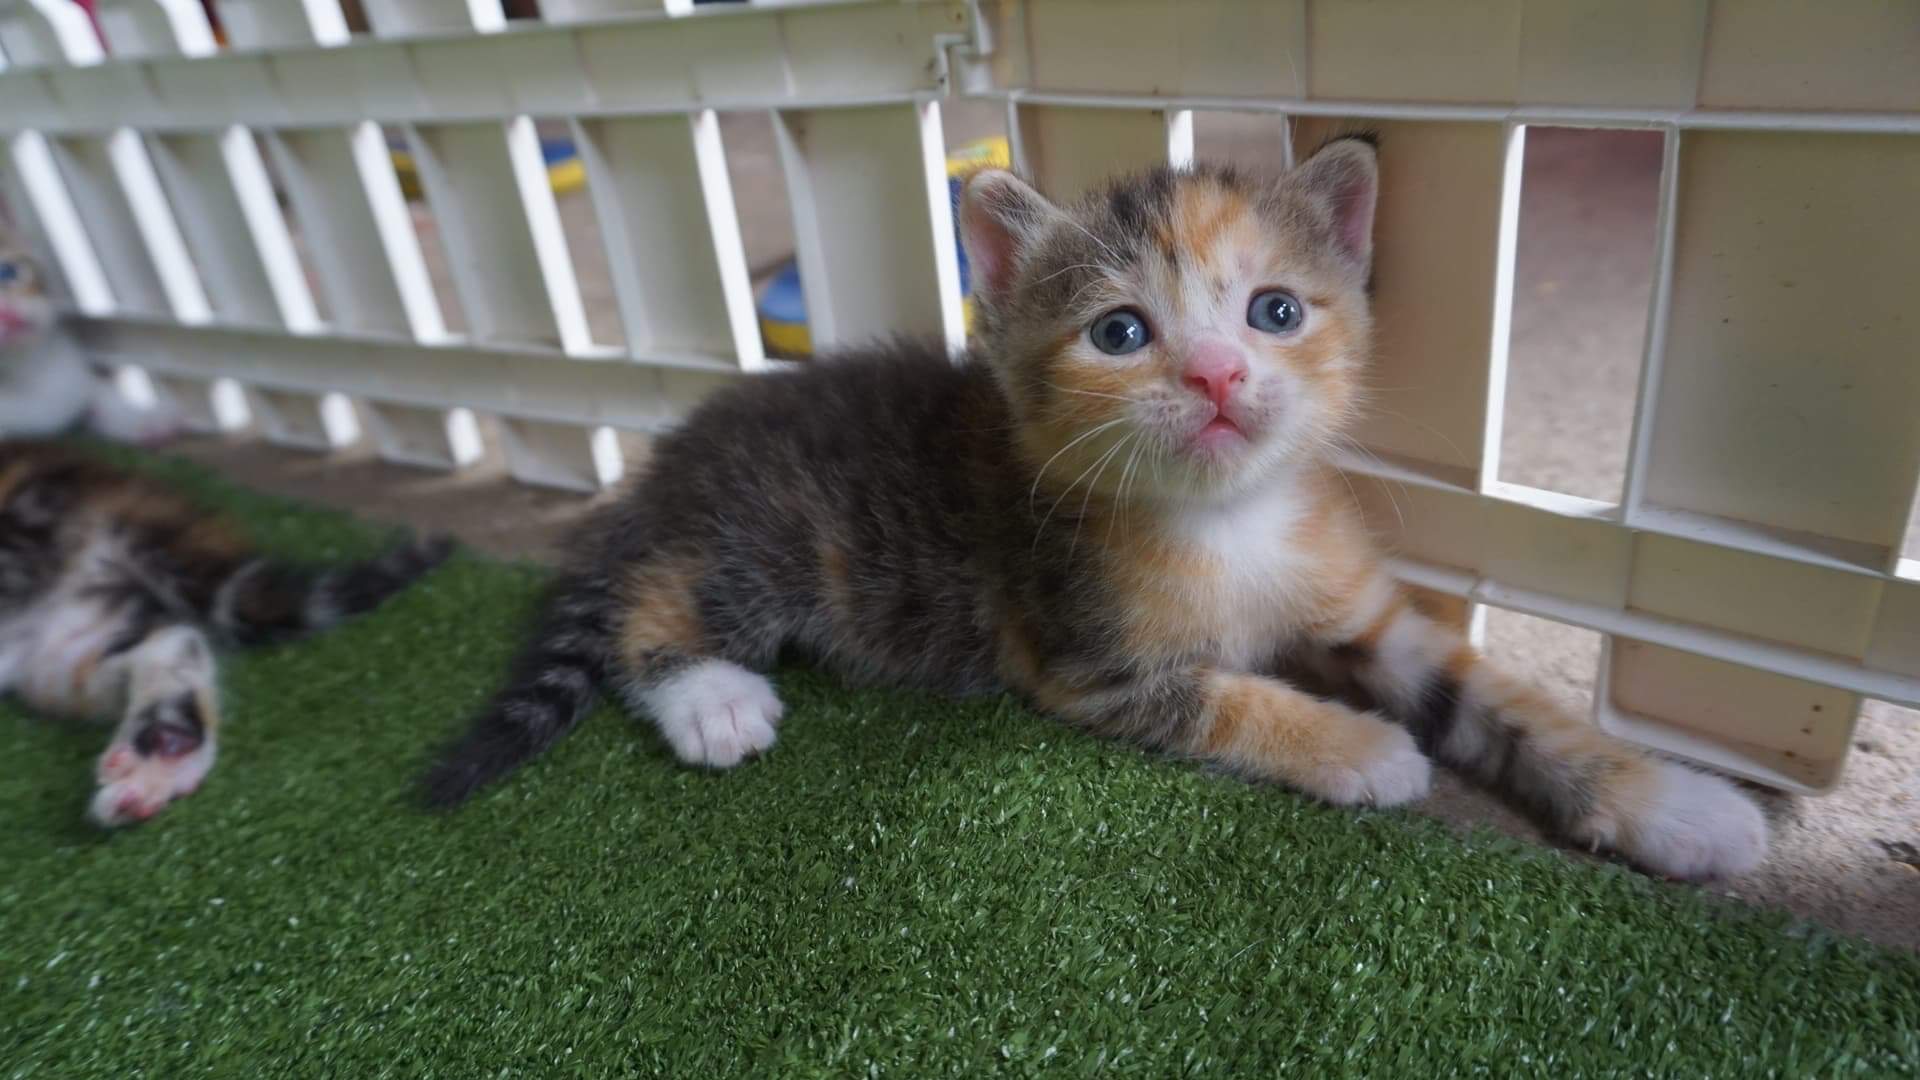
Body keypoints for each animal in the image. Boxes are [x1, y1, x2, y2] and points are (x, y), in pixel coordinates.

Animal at [421, 136, 1768, 881]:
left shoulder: (1366, 615)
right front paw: (1367, 750)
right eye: (1121, 333)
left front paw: (1678, 804)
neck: (1229, 526)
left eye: (1276, 310)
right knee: (645, 606)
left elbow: (1500, 698)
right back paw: (709, 697)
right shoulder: (1084, 659)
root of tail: (674, 456)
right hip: (772, 541)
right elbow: (1228, 696)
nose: (1218, 374)